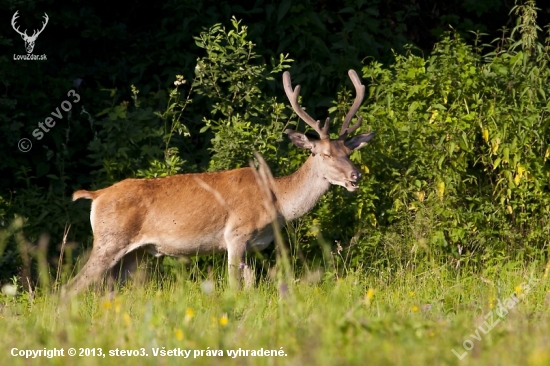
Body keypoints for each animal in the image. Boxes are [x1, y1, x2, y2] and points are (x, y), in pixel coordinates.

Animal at [63, 70, 376, 296]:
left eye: (348, 152)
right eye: (323, 154)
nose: (355, 176)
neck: (276, 200)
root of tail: (96, 195)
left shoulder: (251, 245)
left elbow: (251, 286)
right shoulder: (235, 234)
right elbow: (234, 285)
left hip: (135, 253)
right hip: (109, 240)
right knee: (72, 286)